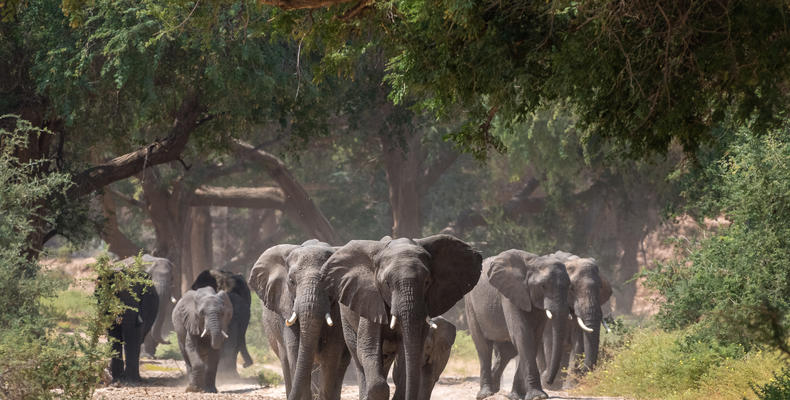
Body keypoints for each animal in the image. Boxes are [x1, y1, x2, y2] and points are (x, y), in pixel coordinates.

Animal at [322, 233, 482, 400]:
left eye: (427, 282)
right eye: (387, 283)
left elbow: (407, 360)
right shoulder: (371, 298)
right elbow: (368, 348)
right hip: (346, 317)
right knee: (359, 357)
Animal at [464, 250, 568, 400]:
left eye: (570, 286)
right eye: (543, 286)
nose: (548, 381)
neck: (535, 261)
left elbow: (532, 339)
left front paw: (516, 396)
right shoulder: (510, 293)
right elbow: (523, 335)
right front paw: (538, 396)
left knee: (507, 351)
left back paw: (496, 388)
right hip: (470, 306)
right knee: (483, 347)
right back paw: (486, 394)